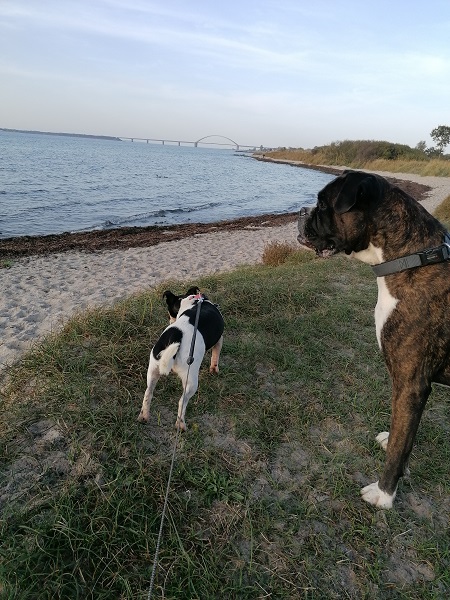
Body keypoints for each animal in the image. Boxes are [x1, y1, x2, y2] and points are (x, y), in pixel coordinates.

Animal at [138, 287, 224, 431]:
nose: (170, 320)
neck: (194, 301)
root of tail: (176, 335)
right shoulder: (219, 340)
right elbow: (215, 357)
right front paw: (214, 370)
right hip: (191, 381)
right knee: (182, 402)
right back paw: (181, 425)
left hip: (153, 370)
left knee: (148, 393)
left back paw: (143, 417)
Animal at [297, 170, 450, 508]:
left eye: (322, 204)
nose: (300, 211)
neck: (411, 259)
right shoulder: (412, 389)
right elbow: (403, 438)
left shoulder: (411, 385)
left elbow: (398, 447)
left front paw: (384, 494)